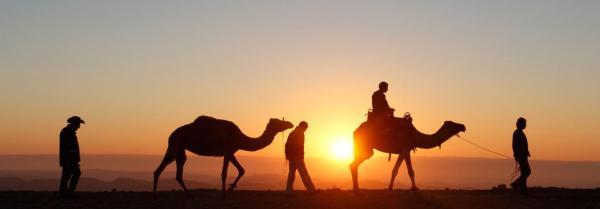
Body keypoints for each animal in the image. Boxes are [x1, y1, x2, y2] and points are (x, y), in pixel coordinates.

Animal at [152, 116, 292, 197]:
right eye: (279, 122)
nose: (290, 123)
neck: (240, 138)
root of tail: (171, 135)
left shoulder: (231, 152)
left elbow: (242, 170)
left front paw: (231, 188)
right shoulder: (227, 151)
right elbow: (224, 173)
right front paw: (225, 192)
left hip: (179, 149)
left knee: (169, 171)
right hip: (176, 145)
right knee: (167, 171)